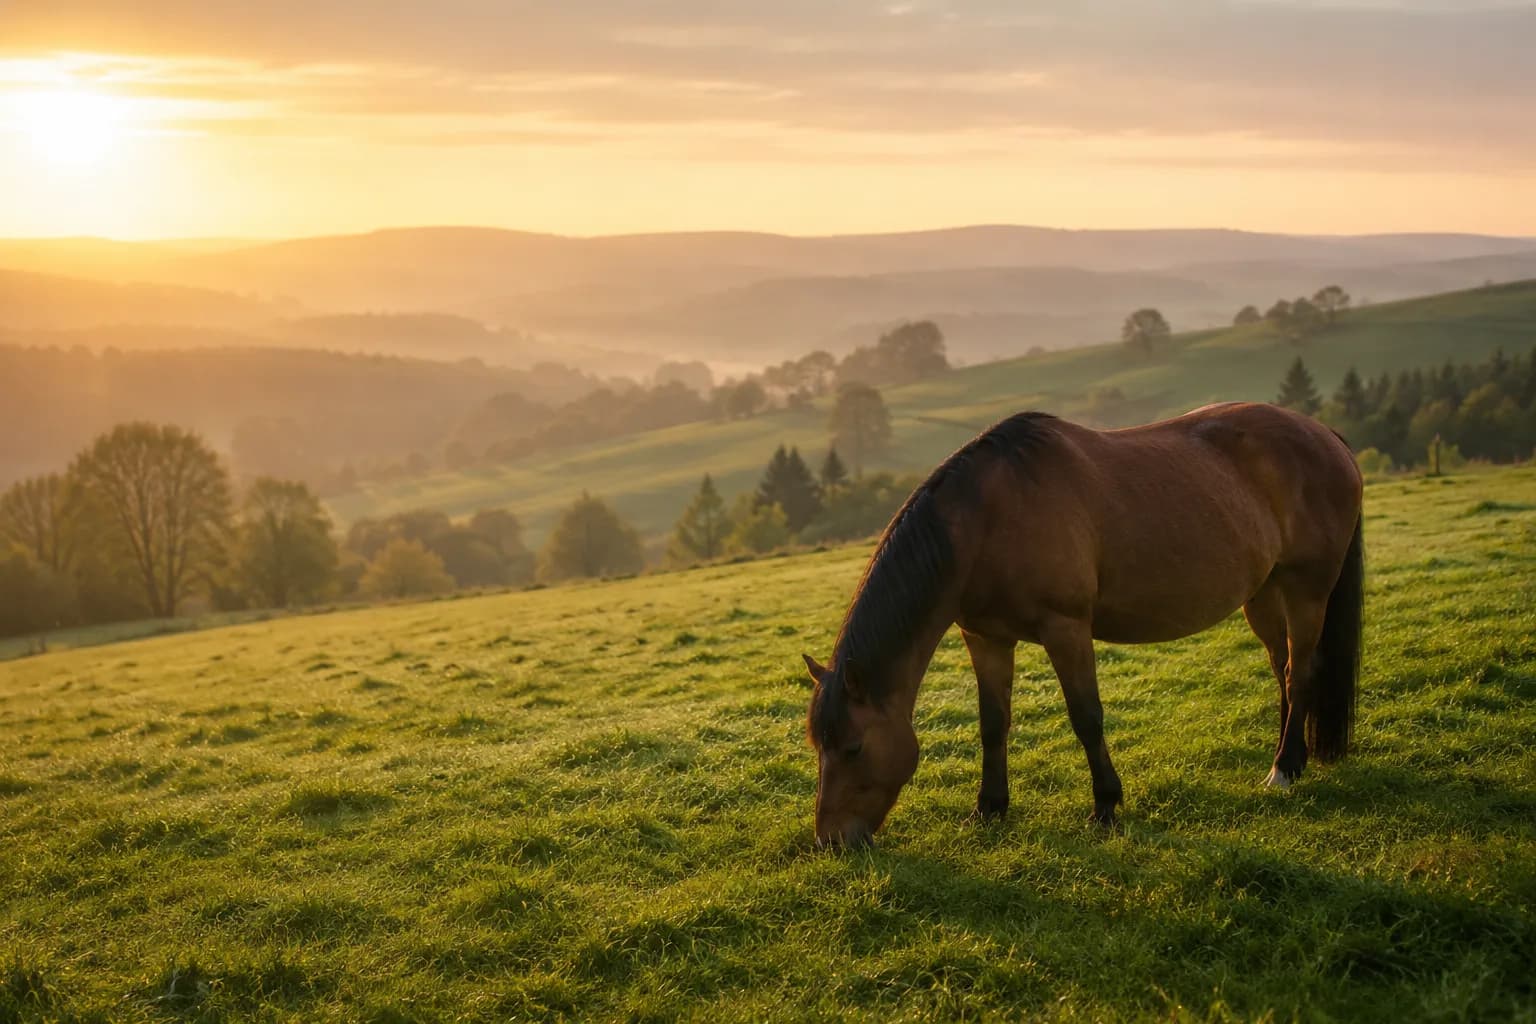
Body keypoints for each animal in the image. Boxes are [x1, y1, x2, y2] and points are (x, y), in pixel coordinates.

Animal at [802, 401, 1364, 848]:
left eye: (853, 747)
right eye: (819, 747)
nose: (832, 841)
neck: (988, 520)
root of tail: (1325, 434)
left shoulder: (1066, 630)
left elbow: (1086, 718)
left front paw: (1106, 807)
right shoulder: (986, 638)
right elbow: (992, 723)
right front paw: (989, 808)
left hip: (1307, 590)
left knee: (1300, 671)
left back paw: (1285, 768)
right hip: (1264, 594)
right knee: (1282, 668)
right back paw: (1289, 756)